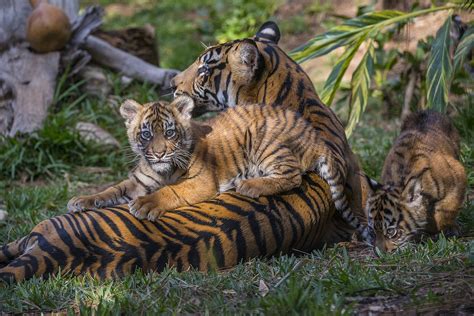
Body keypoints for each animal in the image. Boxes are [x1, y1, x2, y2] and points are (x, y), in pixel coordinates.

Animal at [0, 21, 368, 282]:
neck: (297, 93)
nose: (173, 83)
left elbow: (170, 190)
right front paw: (85, 198)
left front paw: (146, 203)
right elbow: (115, 188)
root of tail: (52, 252)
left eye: (204, 69)